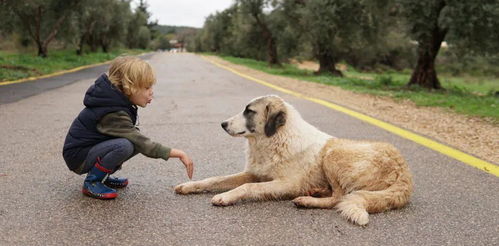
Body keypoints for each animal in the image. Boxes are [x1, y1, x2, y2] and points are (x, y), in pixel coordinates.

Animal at [176, 95, 414, 226]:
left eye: (249, 111)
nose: (223, 124)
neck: (273, 139)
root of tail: (404, 170)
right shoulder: (253, 173)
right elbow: (215, 179)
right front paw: (189, 185)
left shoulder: (286, 184)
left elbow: (248, 187)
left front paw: (225, 197)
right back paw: (315, 192)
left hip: (333, 154)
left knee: (339, 198)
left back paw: (307, 200)